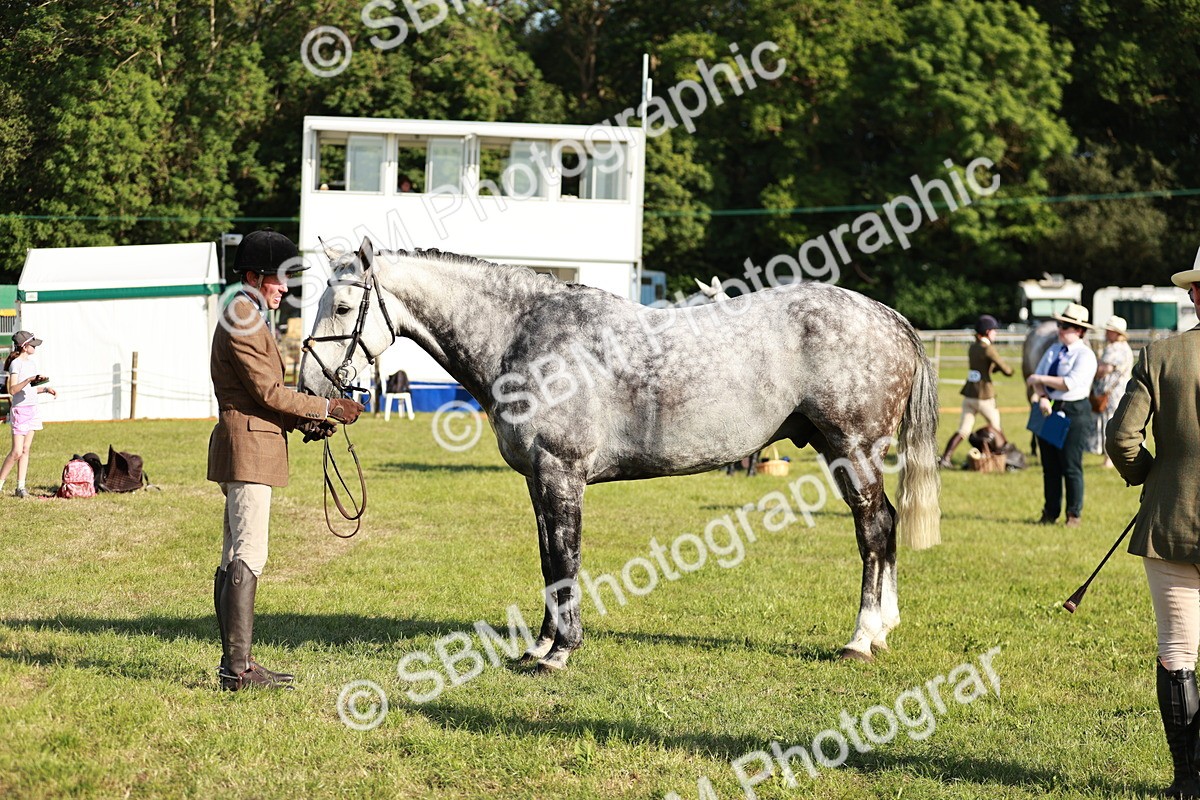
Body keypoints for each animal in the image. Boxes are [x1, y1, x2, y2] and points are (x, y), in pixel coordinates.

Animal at [300, 238, 942, 671]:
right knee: (883, 527)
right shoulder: (539, 481)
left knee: (874, 529)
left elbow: (566, 557)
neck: (527, 335)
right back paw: (882, 629)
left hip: (853, 452)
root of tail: (891, 319)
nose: (309, 385)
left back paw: (862, 638)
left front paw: (561, 652)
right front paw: (539, 645)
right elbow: (549, 560)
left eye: (341, 307)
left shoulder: (561, 473)